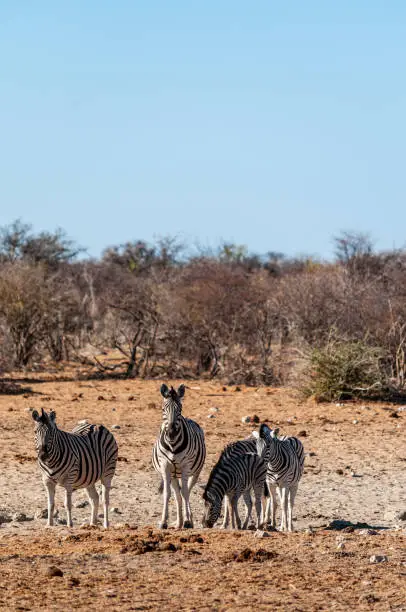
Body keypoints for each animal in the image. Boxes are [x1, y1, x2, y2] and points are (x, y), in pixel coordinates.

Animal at [151, 384, 205, 528]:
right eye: (163, 409)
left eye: (180, 409)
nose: (171, 432)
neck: (173, 444)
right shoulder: (165, 466)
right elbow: (167, 494)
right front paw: (163, 522)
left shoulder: (186, 466)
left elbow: (185, 492)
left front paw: (187, 521)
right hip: (174, 474)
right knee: (177, 494)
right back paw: (179, 522)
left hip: (195, 472)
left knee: (187, 491)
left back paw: (187, 519)